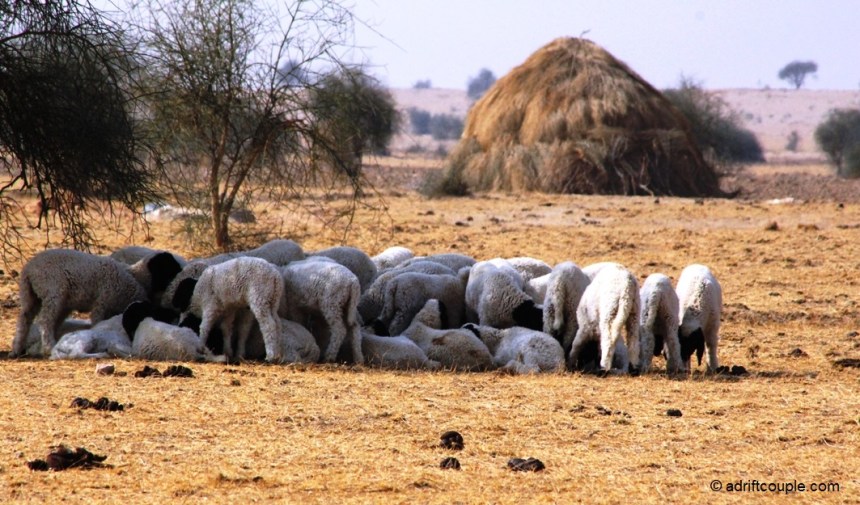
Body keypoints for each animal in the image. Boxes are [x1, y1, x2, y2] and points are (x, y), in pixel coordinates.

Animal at [10, 249, 154, 358]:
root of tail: (28, 270)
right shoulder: (102, 301)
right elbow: (97, 320)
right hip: (53, 291)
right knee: (45, 320)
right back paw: (48, 346)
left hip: (31, 295)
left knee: (25, 318)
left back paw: (18, 348)